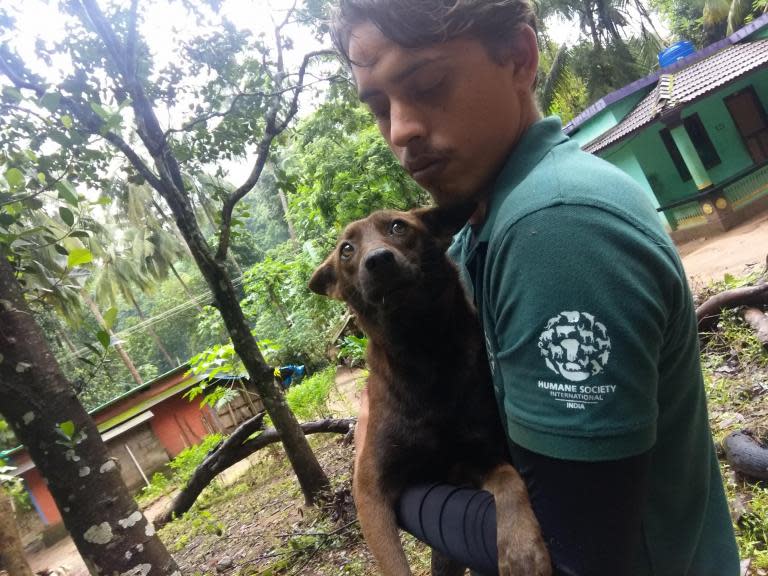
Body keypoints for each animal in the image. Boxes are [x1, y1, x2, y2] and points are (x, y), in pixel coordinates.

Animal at [308, 205, 548, 572]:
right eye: (346, 249)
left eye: (398, 227)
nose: (378, 260)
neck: (424, 353)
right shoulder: (370, 489)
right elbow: (394, 565)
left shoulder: (472, 460)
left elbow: (509, 478)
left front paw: (523, 550)